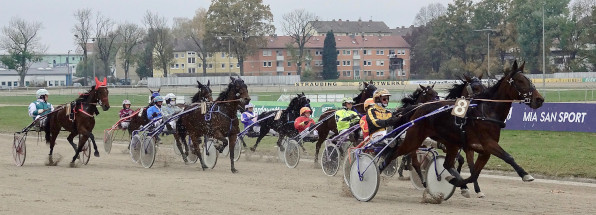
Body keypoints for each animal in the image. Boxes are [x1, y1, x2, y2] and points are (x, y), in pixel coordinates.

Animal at [382, 60, 544, 190]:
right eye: (520, 81)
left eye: (529, 80)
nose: (539, 99)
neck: (485, 111)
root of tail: (417, 109)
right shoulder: (487, 143)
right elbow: (507, 157)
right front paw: (525, 174)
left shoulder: (479, 148)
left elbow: (473, 173)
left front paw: (459, 183)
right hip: (414, 139)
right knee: (397, 153)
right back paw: (381, 168)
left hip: (448, 143)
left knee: (445, 163)